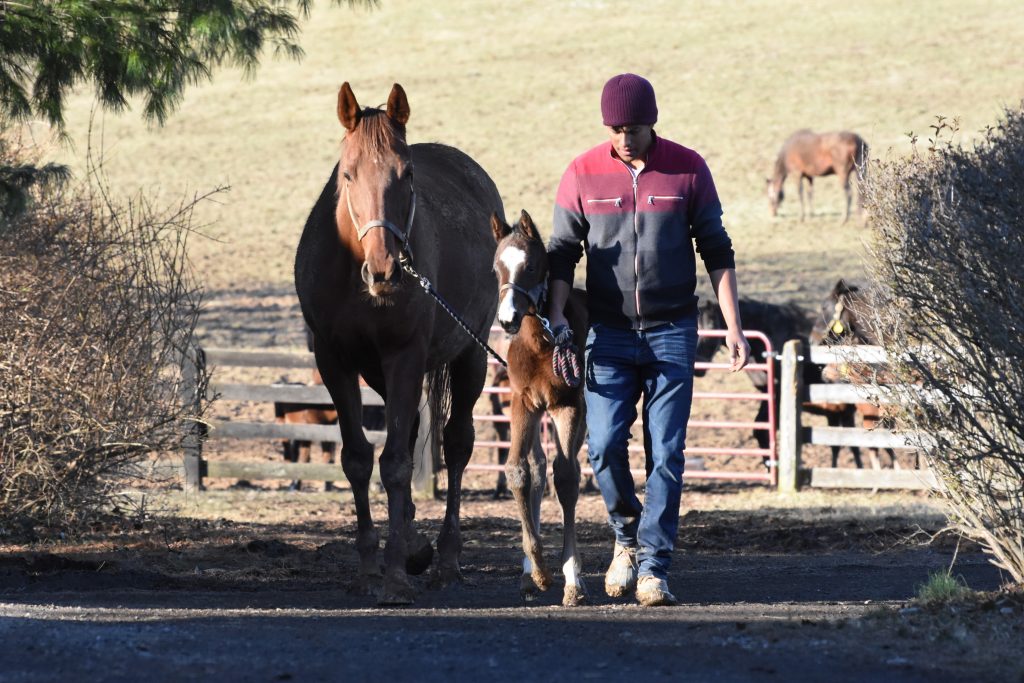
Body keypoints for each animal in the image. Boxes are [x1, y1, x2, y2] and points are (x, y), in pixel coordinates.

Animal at [292, 83, 499, 602]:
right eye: (347, 173)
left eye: (406, 175)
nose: (384, 270)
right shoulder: (335, 362)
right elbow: (358, 459)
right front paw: (371, 566)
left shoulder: (405, 357)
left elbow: (398, 466)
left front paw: (393, 574)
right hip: (382, 376)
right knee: (410, 433)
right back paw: (414, 543)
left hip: (469, 357)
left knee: (457, 443)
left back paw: (445, 558)